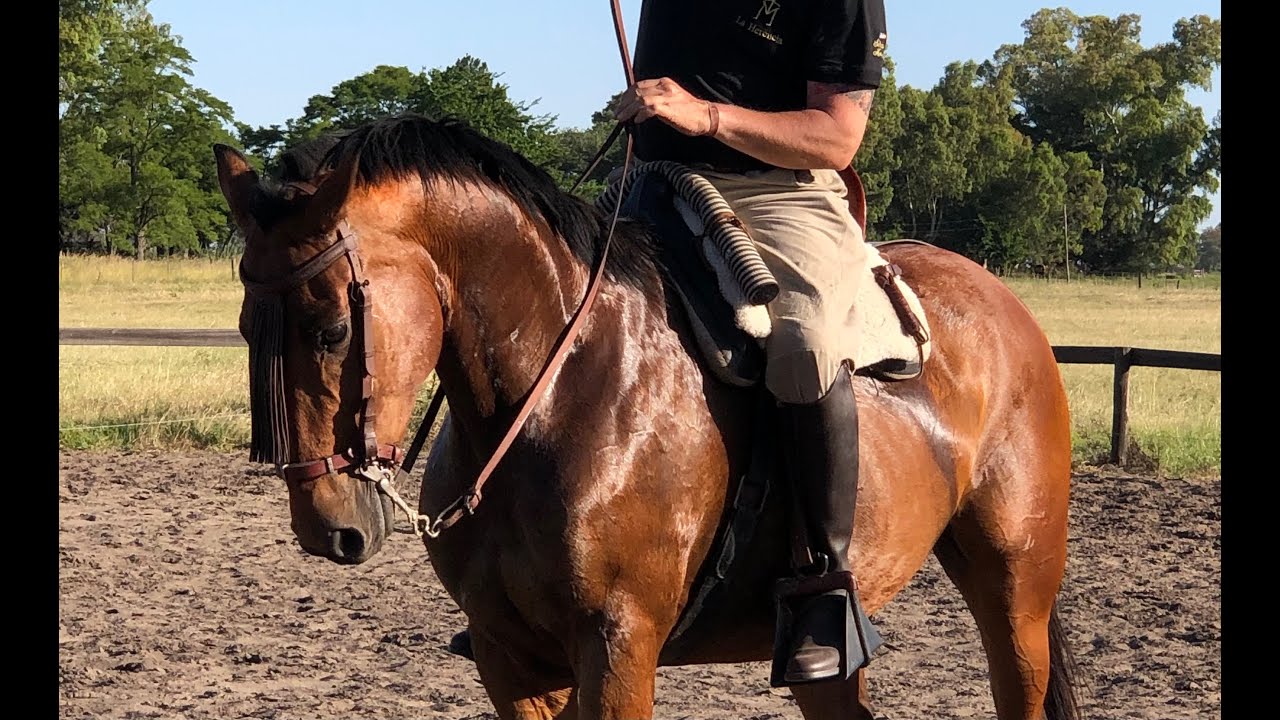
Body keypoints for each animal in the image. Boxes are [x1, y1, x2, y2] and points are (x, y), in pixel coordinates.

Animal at [213, 113, 1081, 720]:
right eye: (248, 327)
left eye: (331, 329)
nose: (328, 527)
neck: (552, 397)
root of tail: (1003, 303)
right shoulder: (508, 660)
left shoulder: (618, 652)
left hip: (1016, 594)